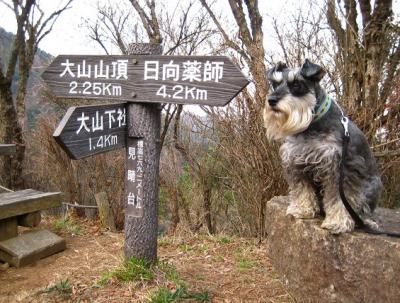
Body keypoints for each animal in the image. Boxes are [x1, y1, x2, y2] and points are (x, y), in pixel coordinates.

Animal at [264, 60, 382, 235]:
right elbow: (302, 189)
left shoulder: (338, 167)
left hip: (370, 187)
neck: (311, 124)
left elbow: (340, 198)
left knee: (363, 208)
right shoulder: (296, 162)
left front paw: (338, 222)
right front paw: (302, 209)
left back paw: (367, 221)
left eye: (297, 84)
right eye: (275, 84)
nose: (271, 100)